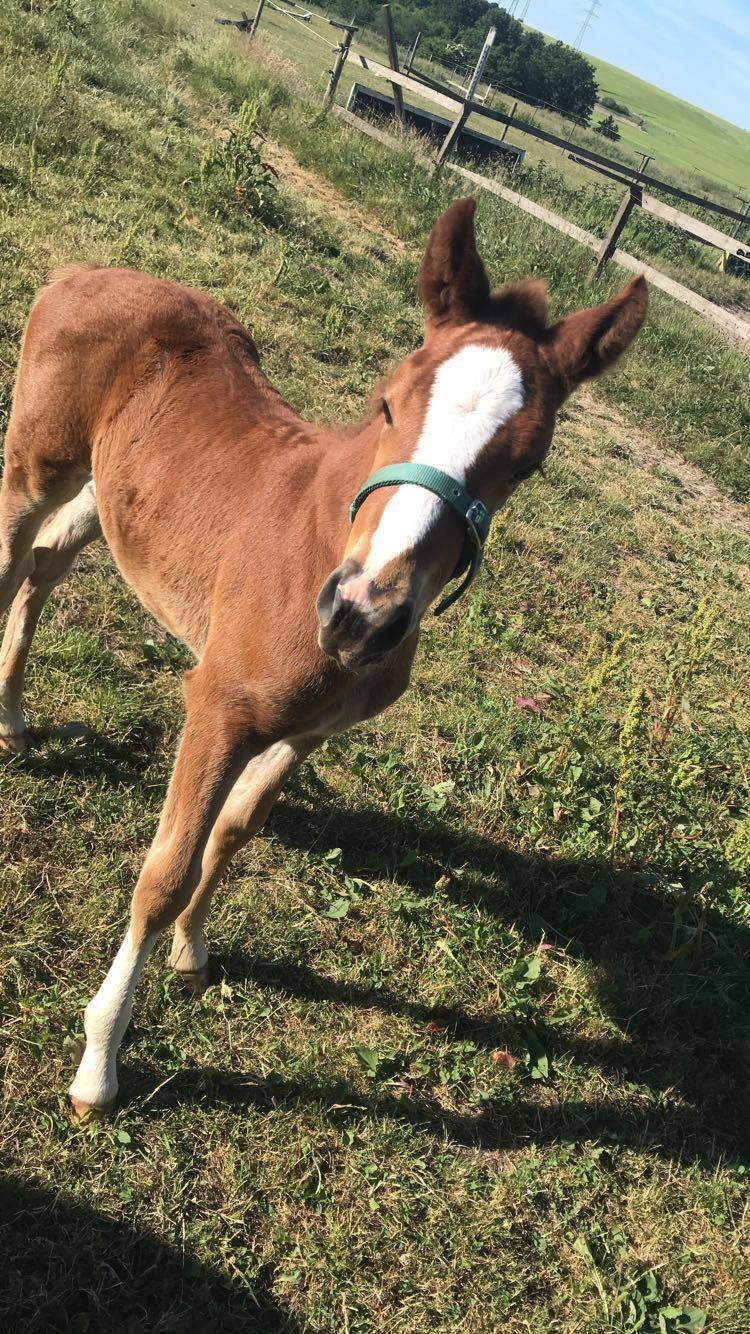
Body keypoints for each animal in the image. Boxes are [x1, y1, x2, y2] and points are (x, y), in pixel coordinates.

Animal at [0, 197, 643, 1115]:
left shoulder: (309, 733)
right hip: (38, 463)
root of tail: (85, 273)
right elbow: (164, 873)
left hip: (102, 492)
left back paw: (17, 720)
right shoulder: (218, 707)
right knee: (13, 559)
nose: (360, 615)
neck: (317, 543)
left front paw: (192, 951)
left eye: (528, 462)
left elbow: (236, 830)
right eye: (387, 403)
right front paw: (98, 1065)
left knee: (46, 568)